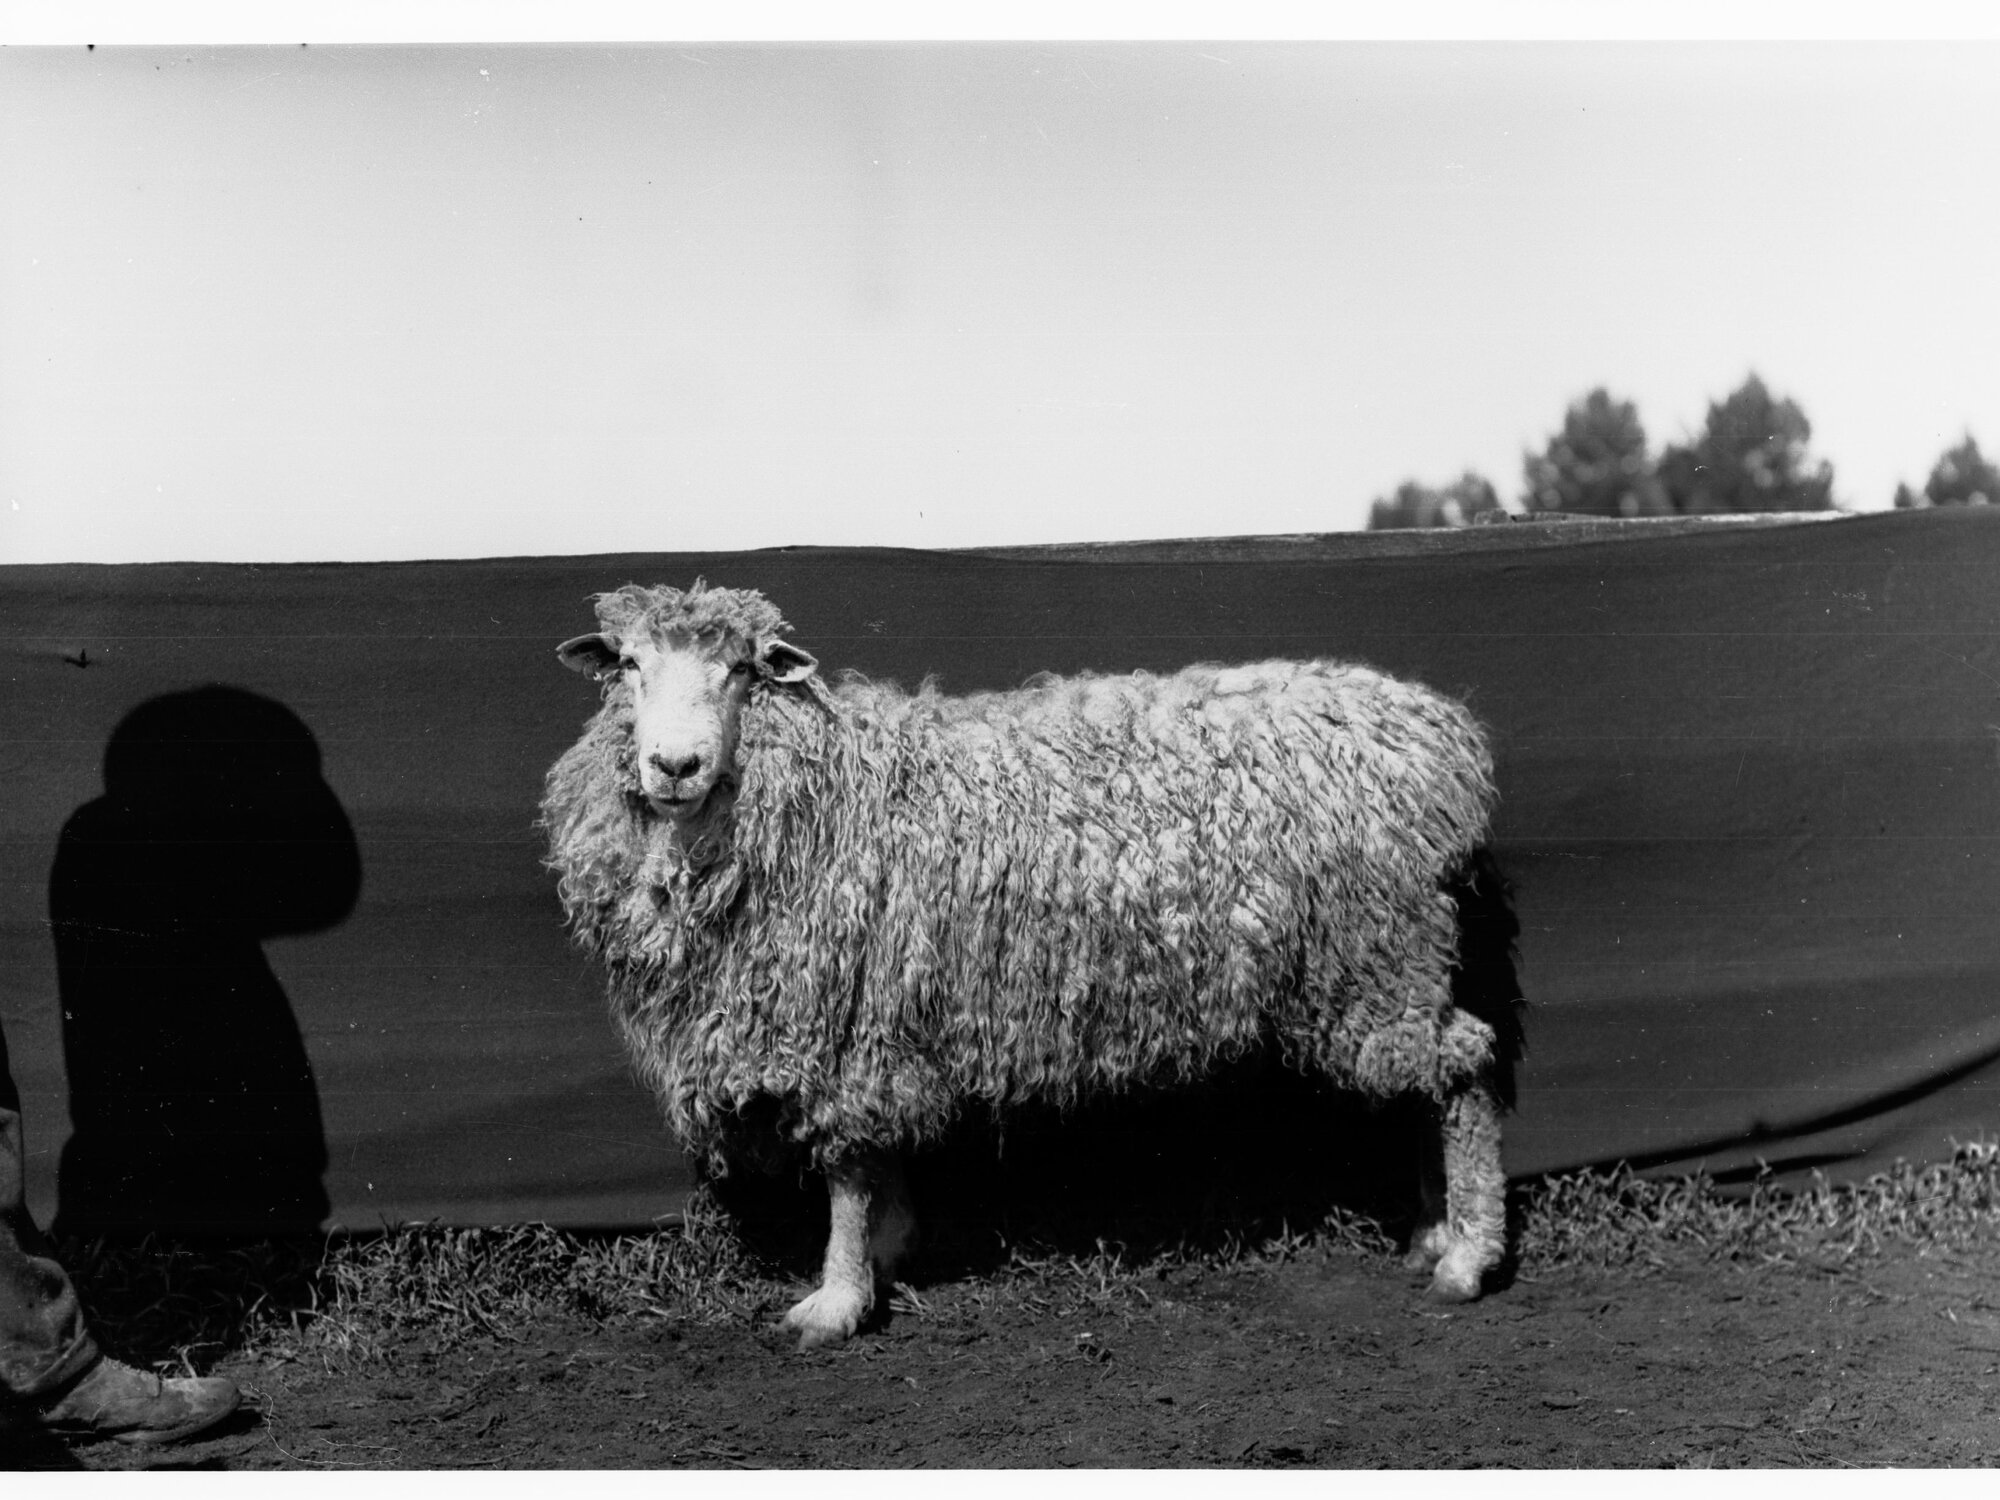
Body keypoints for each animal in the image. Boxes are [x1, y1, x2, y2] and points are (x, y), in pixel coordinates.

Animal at [540, 580, 1509, 1348]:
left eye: (741, 671)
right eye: (629, 665)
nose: (674, 765)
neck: (823, 787)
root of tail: (1442, 740)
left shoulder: (842, 1023)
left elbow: (846, 1173)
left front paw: (838, 1300)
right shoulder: (881, 1017)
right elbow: (878, 1161)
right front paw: (891, 1249)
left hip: (1380, 948)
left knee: (1460, 1074)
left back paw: (1468, 1255)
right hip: (1390, 960)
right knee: (1430, 1080)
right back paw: (1433, 1230)